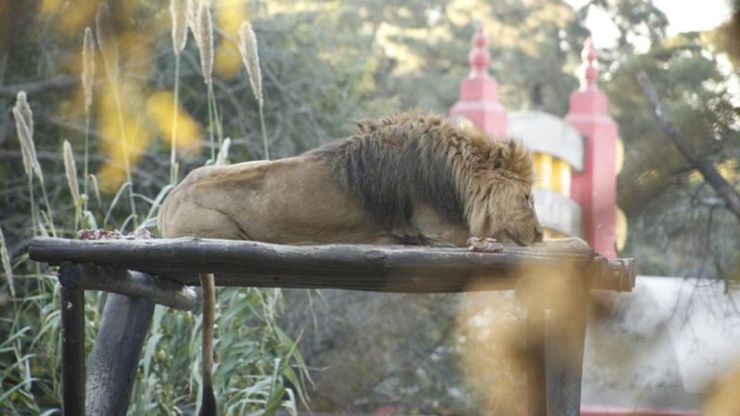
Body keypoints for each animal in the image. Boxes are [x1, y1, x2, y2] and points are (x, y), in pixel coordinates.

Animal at [158, 111, 544, 416]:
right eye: (527, 197)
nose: (539, 235)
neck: (454, 178)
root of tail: (165, 208)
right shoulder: (440, 231)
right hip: (225, 231)